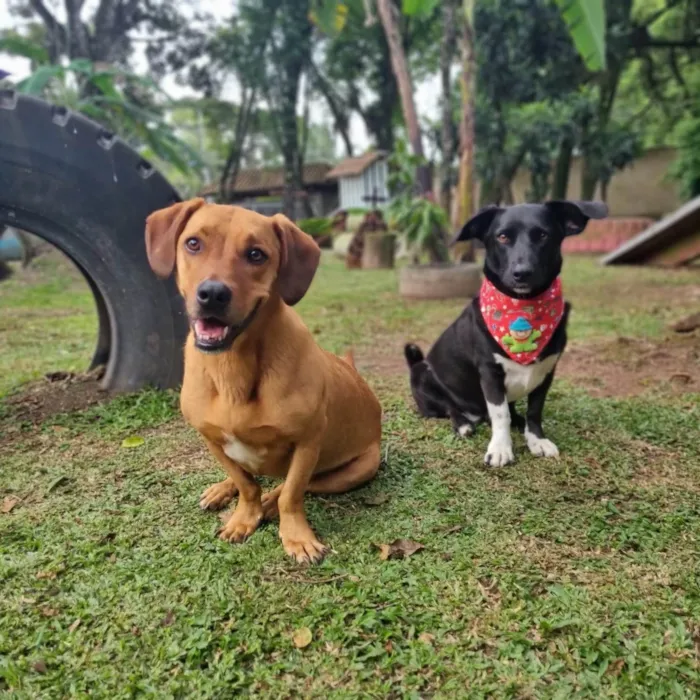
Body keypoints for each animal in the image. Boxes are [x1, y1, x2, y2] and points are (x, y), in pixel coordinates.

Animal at [144, 197, 380, 564]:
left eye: (256, 254)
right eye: (193, 243)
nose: (212, 294)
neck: (232, 369)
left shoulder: (308, 443)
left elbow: (291, 494)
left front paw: (296, 535)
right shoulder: (212, 440)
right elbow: (246, 484)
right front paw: (244, 515)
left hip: (359, 468)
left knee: (297, 486)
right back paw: (223, 490)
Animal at [404, 200, 608, 468]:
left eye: (543, 235)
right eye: (502, 237)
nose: (522, 272)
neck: (523, 308)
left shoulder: (547, 371)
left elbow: (534, 410)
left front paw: (536, 439)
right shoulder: (490, 373)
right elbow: (500, 415)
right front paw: (500, 448)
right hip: (424, 375)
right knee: (449, 407)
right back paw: (463, 424)